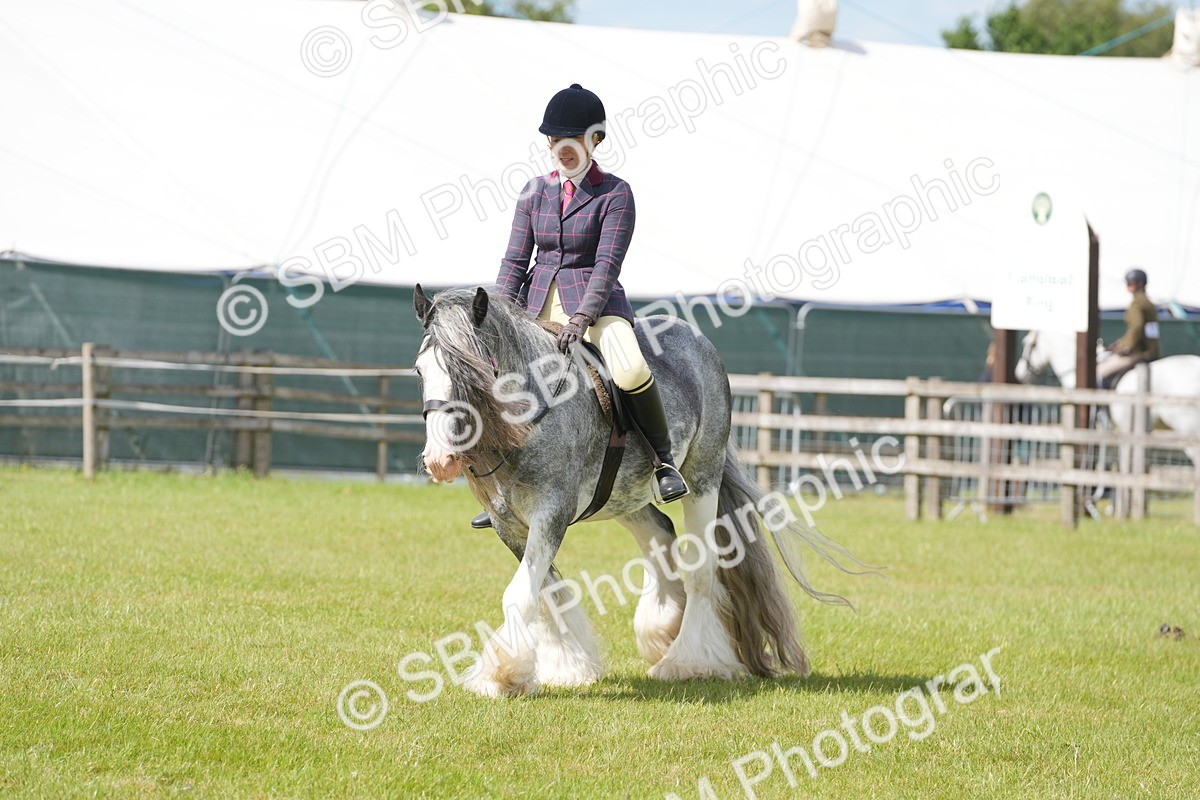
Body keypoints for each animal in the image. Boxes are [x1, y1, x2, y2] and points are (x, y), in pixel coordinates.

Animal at [412, 285, 865, 698]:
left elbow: (520, 594)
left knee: (701, 568)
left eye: (470, 370)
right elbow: (545, 592)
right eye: (419, 370)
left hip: (702, 478)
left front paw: (500, 675)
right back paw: (664, 625)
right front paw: (566, 668)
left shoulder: (551, 514)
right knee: (659, 533)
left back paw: (686, 660)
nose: (439, 461)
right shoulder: (509, 522)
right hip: (624, 495)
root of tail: (695, 338)